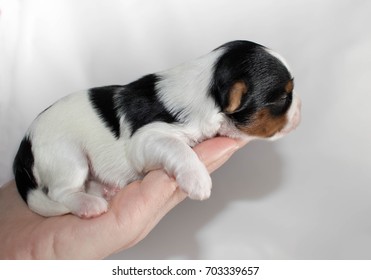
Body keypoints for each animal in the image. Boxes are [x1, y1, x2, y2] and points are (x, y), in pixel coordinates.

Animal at [13, 40, 302, 218]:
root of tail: (24, 144)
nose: (301, 106)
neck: (205, 84)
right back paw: (89, 204)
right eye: (282, 97)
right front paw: (197, 180)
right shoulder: (148, 138)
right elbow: (180, 148)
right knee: (62, 192)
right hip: (68, 157)